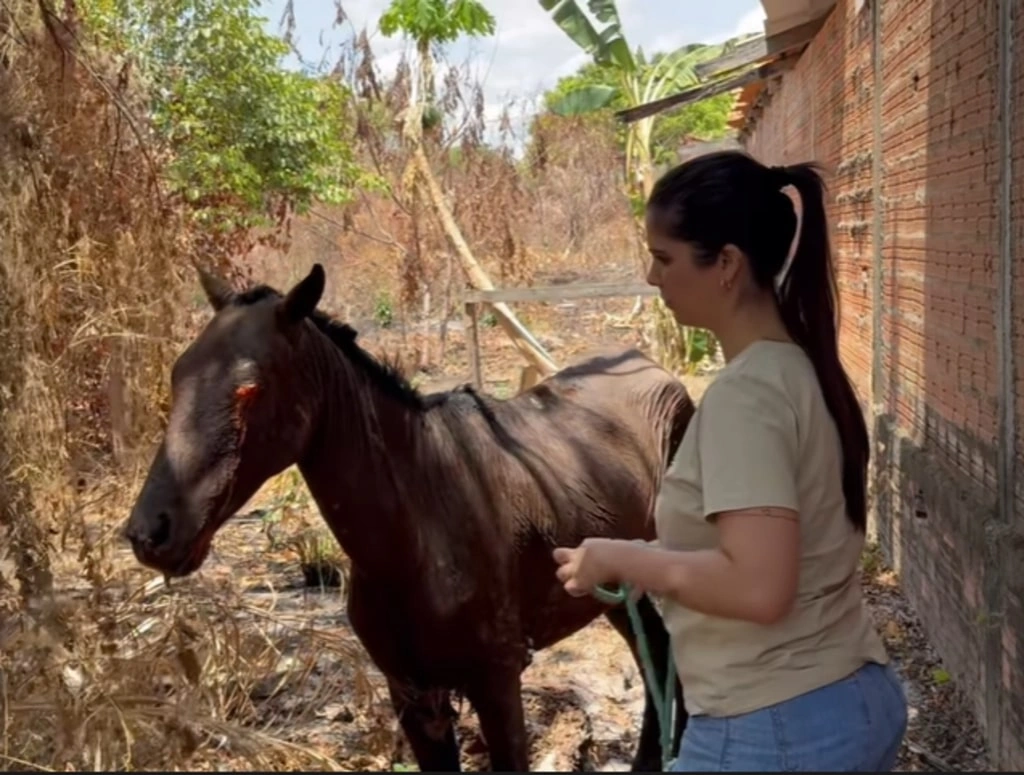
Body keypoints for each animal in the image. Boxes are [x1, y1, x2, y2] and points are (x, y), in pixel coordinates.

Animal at [123, 264, 692, 769]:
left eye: (250, 387)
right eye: (178, 373)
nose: (149, 532)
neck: (419, 530)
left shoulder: (497, 681)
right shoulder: (413, 696)